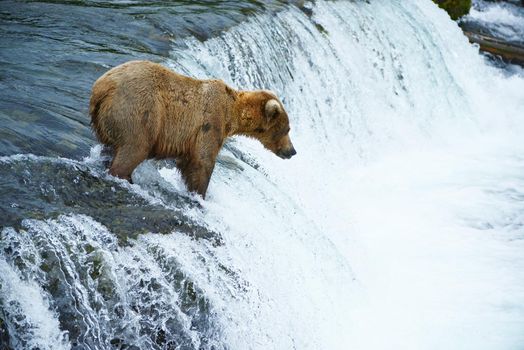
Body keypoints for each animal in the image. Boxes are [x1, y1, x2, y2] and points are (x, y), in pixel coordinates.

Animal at [89, 59, 294, 197]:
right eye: (287, 129)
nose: (292, 151)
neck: (231, 113)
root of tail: (102, 87)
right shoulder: (210, 123)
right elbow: (202, 161)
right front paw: (200, 193)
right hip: (139, 112)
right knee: (135, 148)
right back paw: (125, 177)